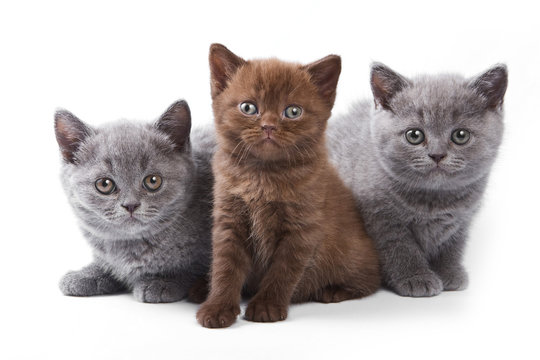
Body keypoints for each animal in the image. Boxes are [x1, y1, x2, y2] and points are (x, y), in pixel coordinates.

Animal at [54, 100, 215, 302]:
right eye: (104, 184)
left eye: (153, 181)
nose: (130, 205)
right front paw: (88, 274)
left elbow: (194, 268)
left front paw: (163, 281)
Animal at [196, 43, 382, 328]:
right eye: (248, 107)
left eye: (293, 111)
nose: (269, 126)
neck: (263, 175)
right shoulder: (229, 220)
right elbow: (225, 267)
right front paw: (217, 307)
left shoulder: (302, 228)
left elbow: (283, 271)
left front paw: (266, 306)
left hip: (354, 254)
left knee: (371, 279)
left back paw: (333, 290)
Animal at [326, 63, 508, 296]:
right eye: (414, 135)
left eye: (460, 135)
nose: (437, 154)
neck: (435, 201)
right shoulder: (381, 219)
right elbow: (401, 248)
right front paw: (416, 278)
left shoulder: (462, 220)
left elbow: (453, 247)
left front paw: (450, 273)